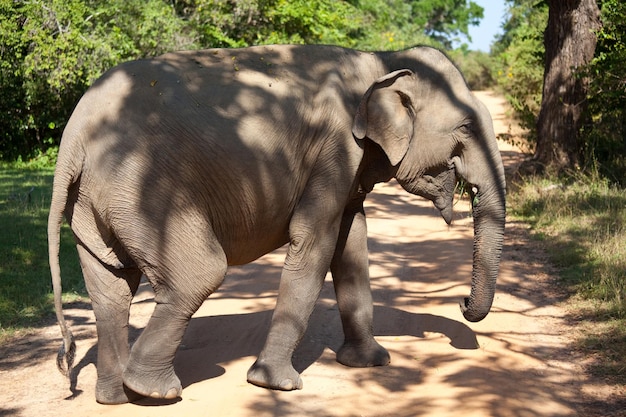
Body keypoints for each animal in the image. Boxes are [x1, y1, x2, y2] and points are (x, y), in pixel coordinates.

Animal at [48, 44, 504, 404]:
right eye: (465, 127)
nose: (462, 302)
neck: (381, 60)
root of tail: (73, 137)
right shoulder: (335, 148)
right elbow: (316, 241)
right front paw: (277, 386)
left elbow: (351, 241)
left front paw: (369, 364)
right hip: (142, 189)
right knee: (198, 274)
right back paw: (156, 392)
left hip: (96, 201)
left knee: (111, 287)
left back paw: (116, 397)